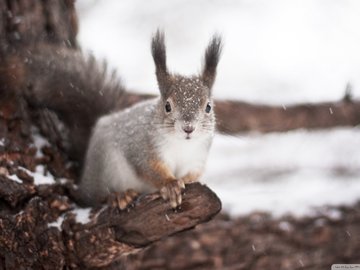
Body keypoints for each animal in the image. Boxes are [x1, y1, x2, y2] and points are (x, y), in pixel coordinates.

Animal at [1, 31, 222, 209]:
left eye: (208, 107)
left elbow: (193, 174)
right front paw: (170, 185)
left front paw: (186, 181)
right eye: (167, 106)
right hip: (106, 167)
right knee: (94, 198)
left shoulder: (197, 158)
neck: (181, 145)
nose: (188, 128)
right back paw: (118, 196)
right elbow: (149, 169)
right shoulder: (142, 147)